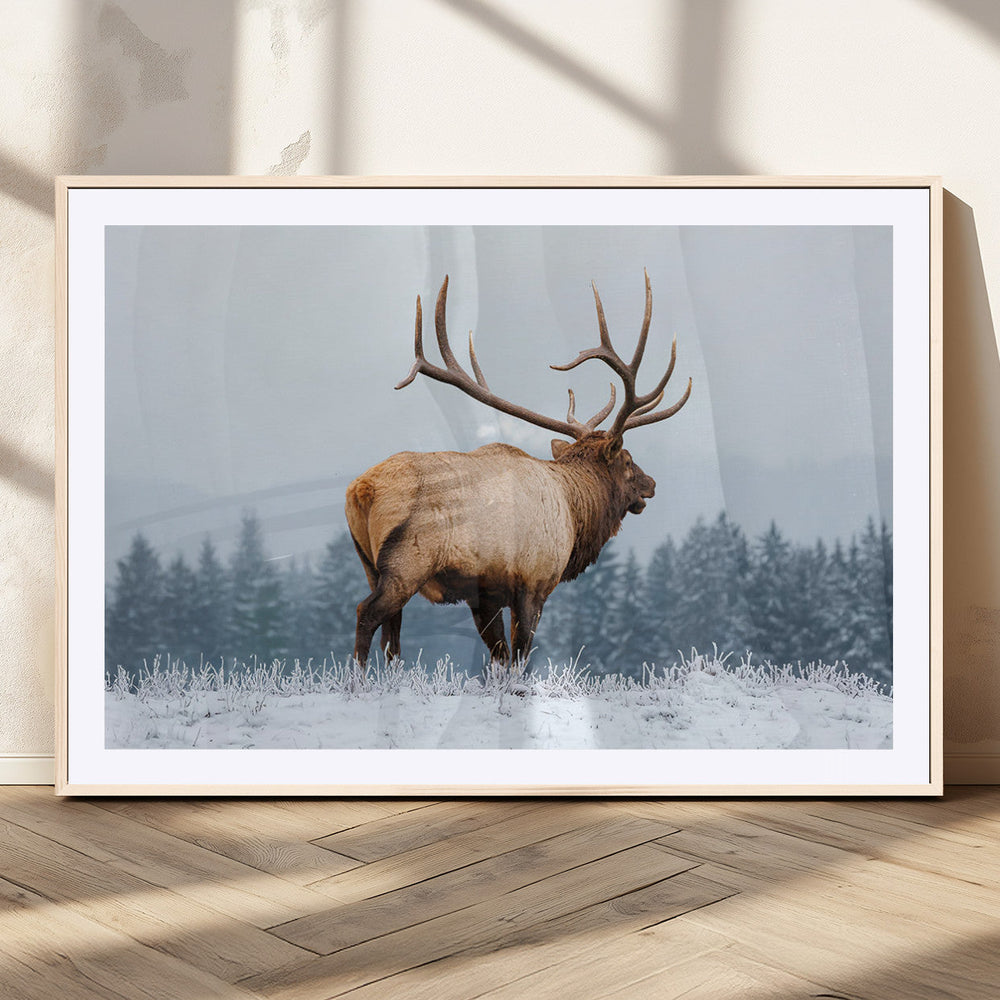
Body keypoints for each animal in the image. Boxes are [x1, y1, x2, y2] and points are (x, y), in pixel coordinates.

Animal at [345, 270, 692, 668]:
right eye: (628, 460)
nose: (652, 484)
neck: (575, 513)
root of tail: (361, 490)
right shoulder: (533, 581)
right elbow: (521, 656)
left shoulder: (485, 595)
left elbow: (499, 656)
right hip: (407, 562)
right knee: (367, 614)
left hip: (368, 564)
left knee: (392, 634)